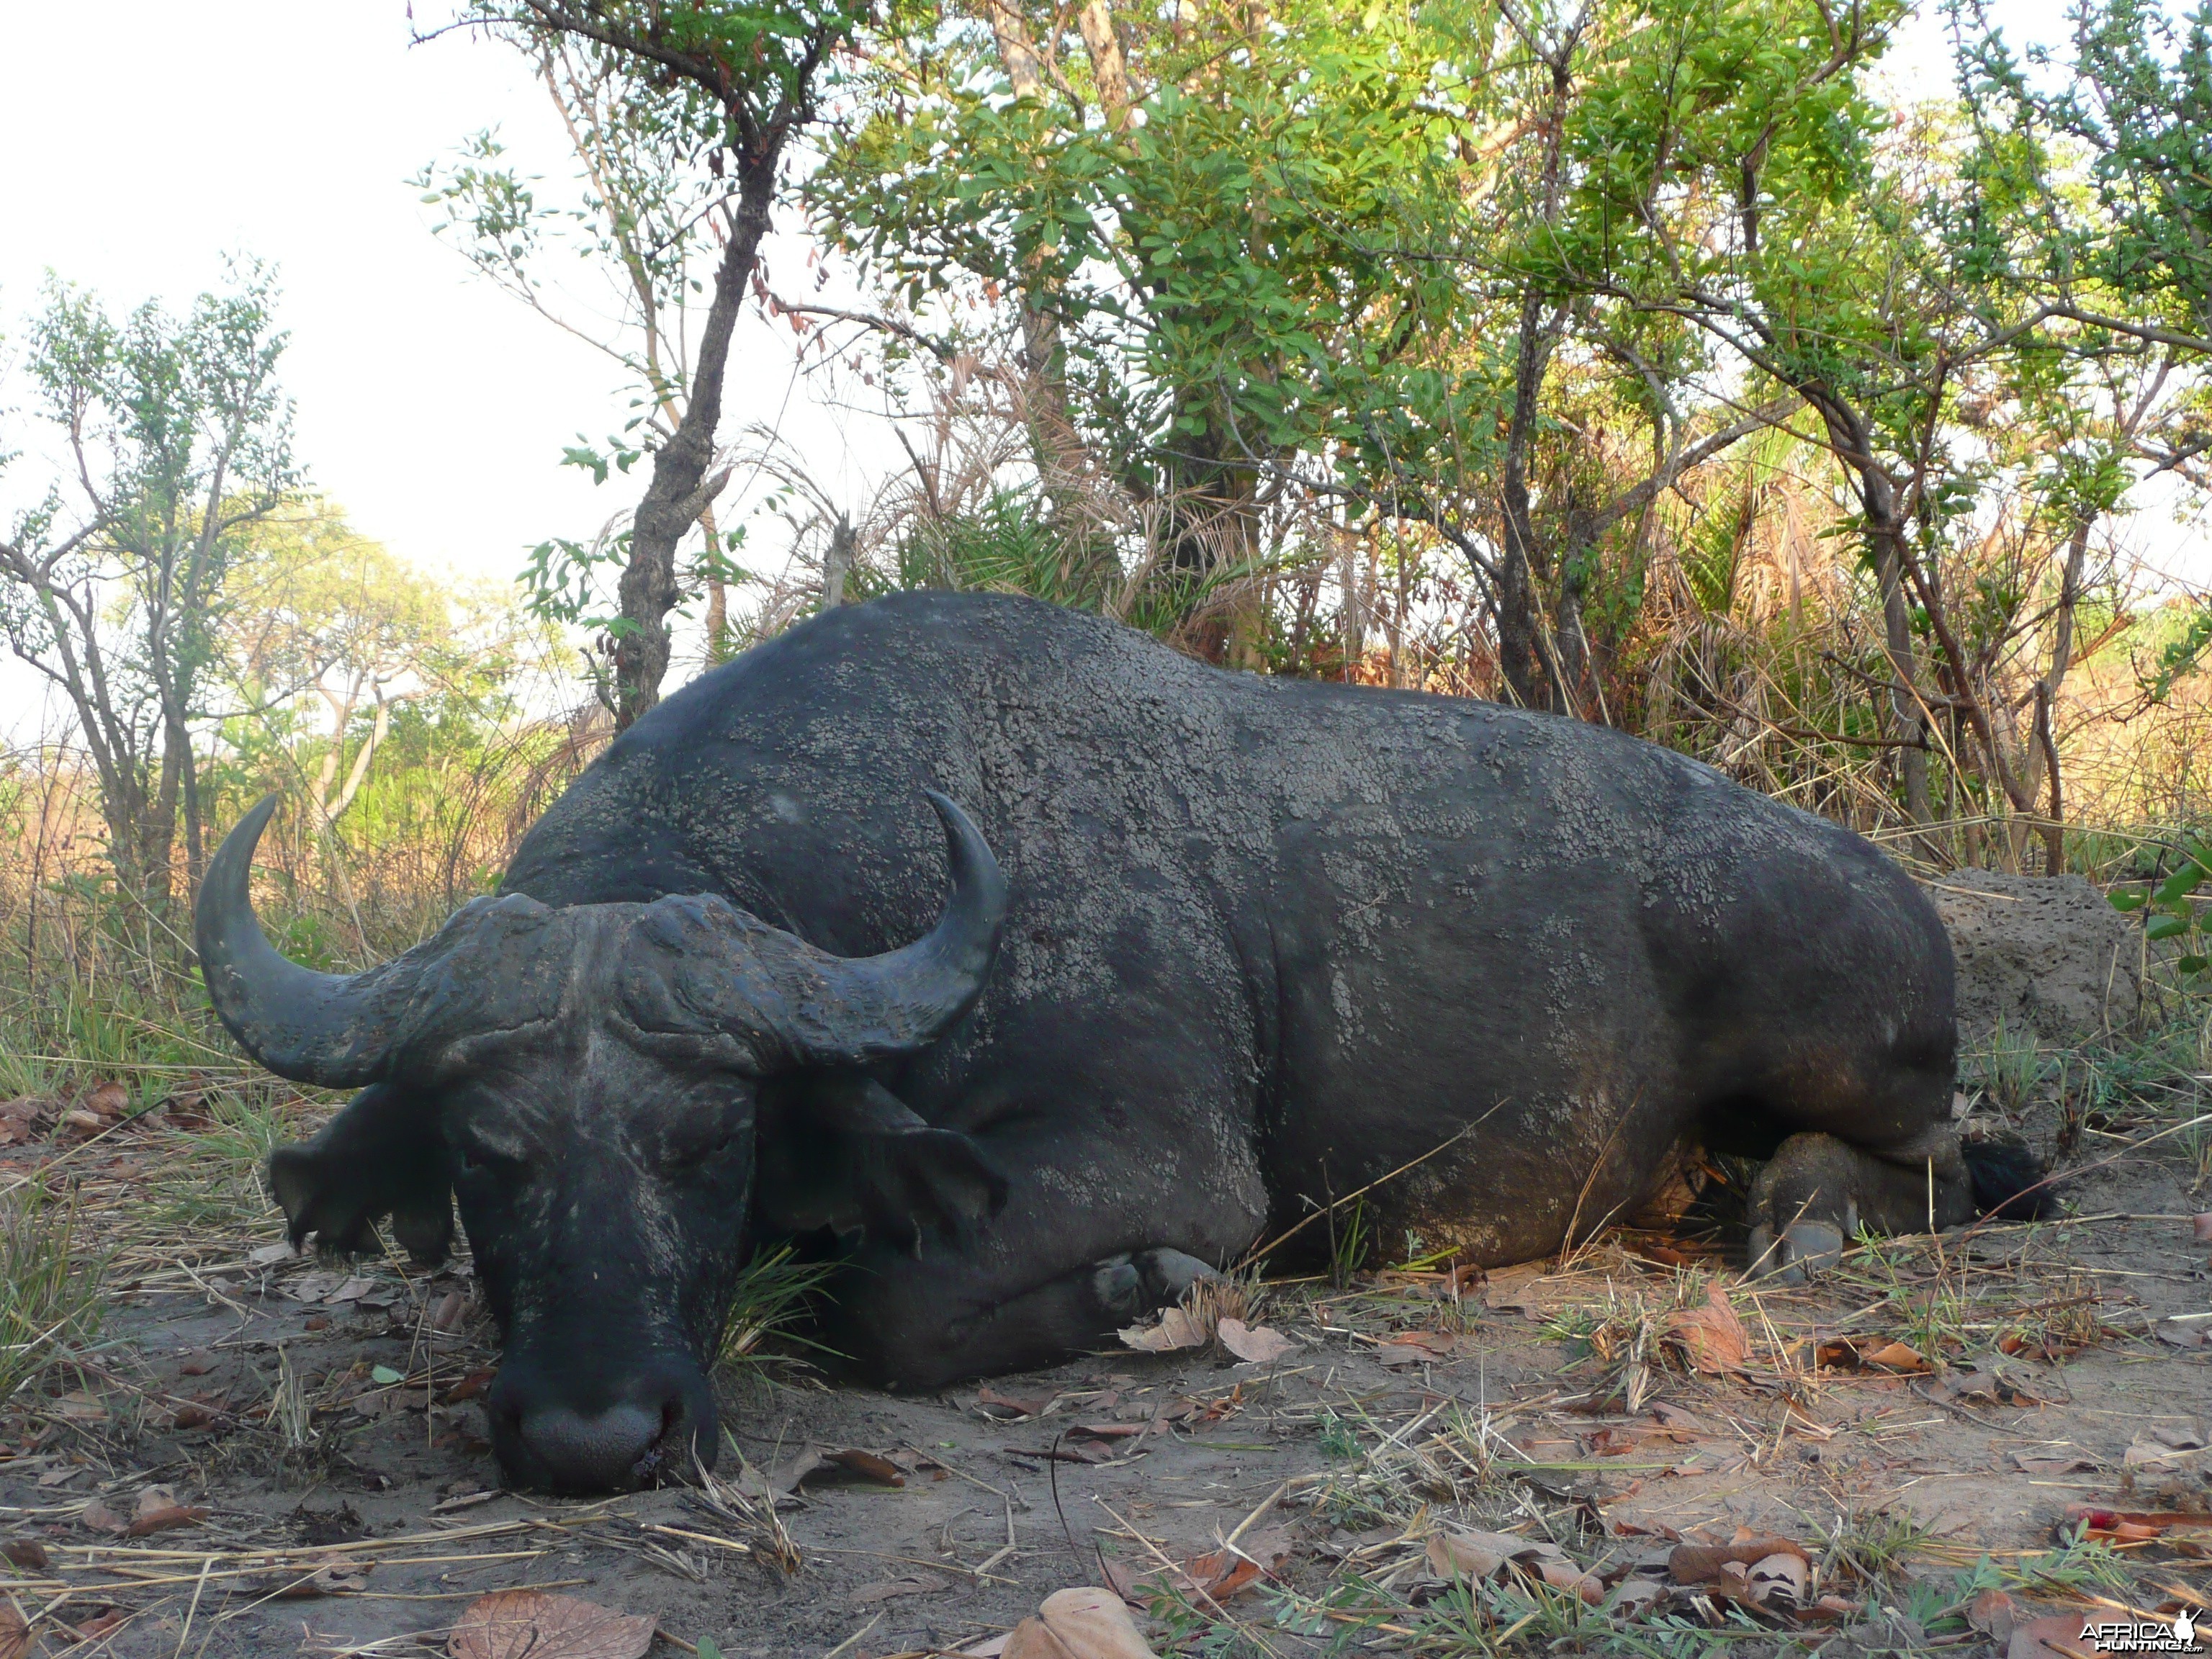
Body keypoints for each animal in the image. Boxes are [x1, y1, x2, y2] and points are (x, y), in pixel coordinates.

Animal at [194, 593, 2035, 1495]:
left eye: (708, 1142)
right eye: (484, 1155)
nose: (590, 1440)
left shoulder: (1166, 1163)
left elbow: (886, 1304)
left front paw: (1144, 1290)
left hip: (1843, 1037)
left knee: (1975, 1158)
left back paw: (1806, 1212)